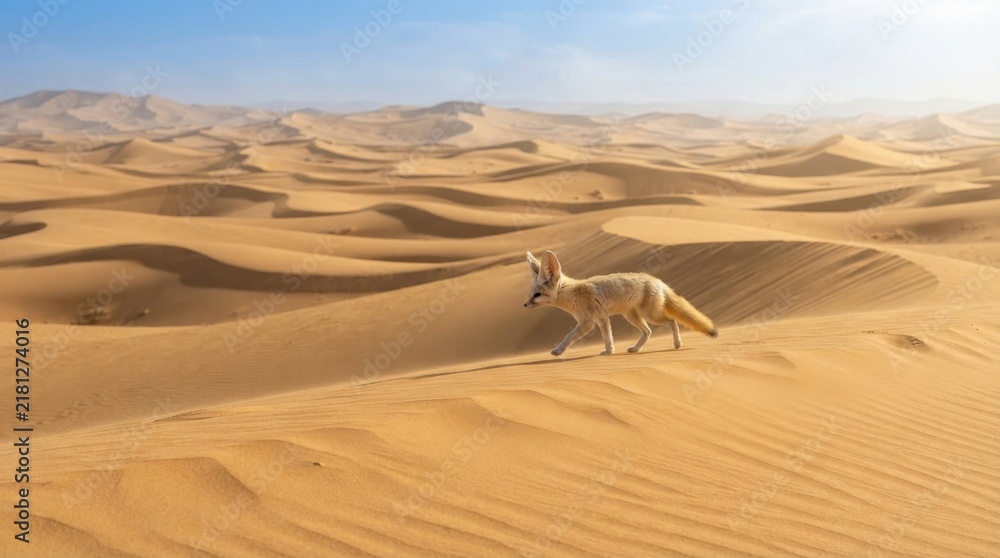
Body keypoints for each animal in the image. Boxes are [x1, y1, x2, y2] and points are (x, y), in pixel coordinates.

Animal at [523, 250, 718, 356]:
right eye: (530, 294)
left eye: (537, 295)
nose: (524, 305)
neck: (573, 293)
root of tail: (658, 280)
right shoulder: (602, 318)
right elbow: (608, 338)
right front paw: (609, 352)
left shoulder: (588, 322)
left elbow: (568, 337)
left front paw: (558, 351)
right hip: (632, 316)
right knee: (648, 331)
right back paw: (636, 349)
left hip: (650, 315)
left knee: (672, 321)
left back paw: (677, 344)